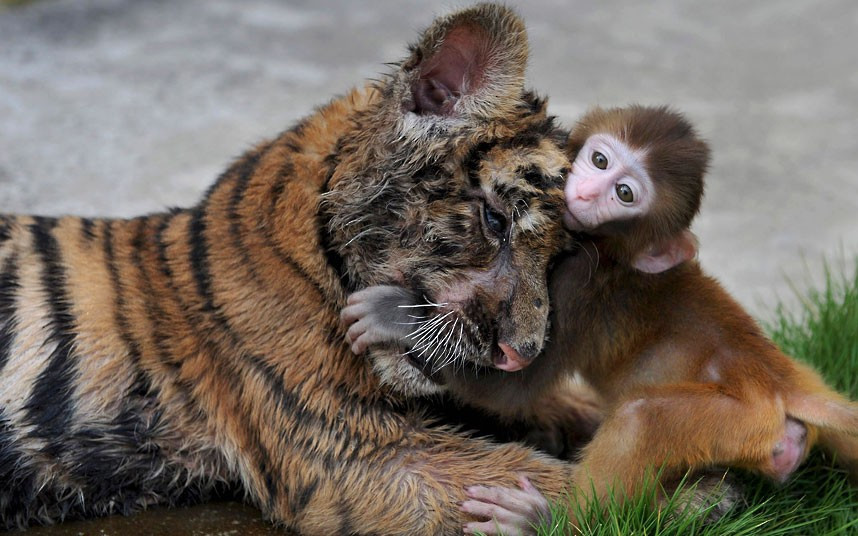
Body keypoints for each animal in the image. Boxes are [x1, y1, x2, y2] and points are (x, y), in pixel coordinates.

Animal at [341, 105, 858, 534]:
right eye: (601, 160)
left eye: (624, 194)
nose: (588, 191)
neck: (611, 252)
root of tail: (781, 378)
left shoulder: (577, 284)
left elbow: (512, 388)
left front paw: (396, 315)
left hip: (737, 420)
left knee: (640, 418)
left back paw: (548, 521)